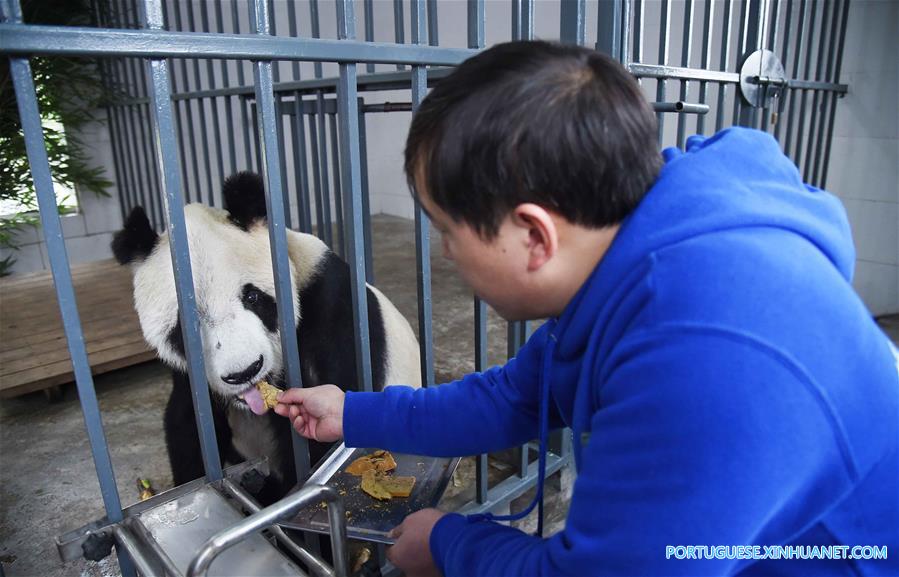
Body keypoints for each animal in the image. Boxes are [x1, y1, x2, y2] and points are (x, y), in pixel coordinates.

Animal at [112, 172, 422, 504]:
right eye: (186, 325)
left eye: (252, 297)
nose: (244, 372)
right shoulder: (188, 374)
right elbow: (188, 421)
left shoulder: (333, 308)